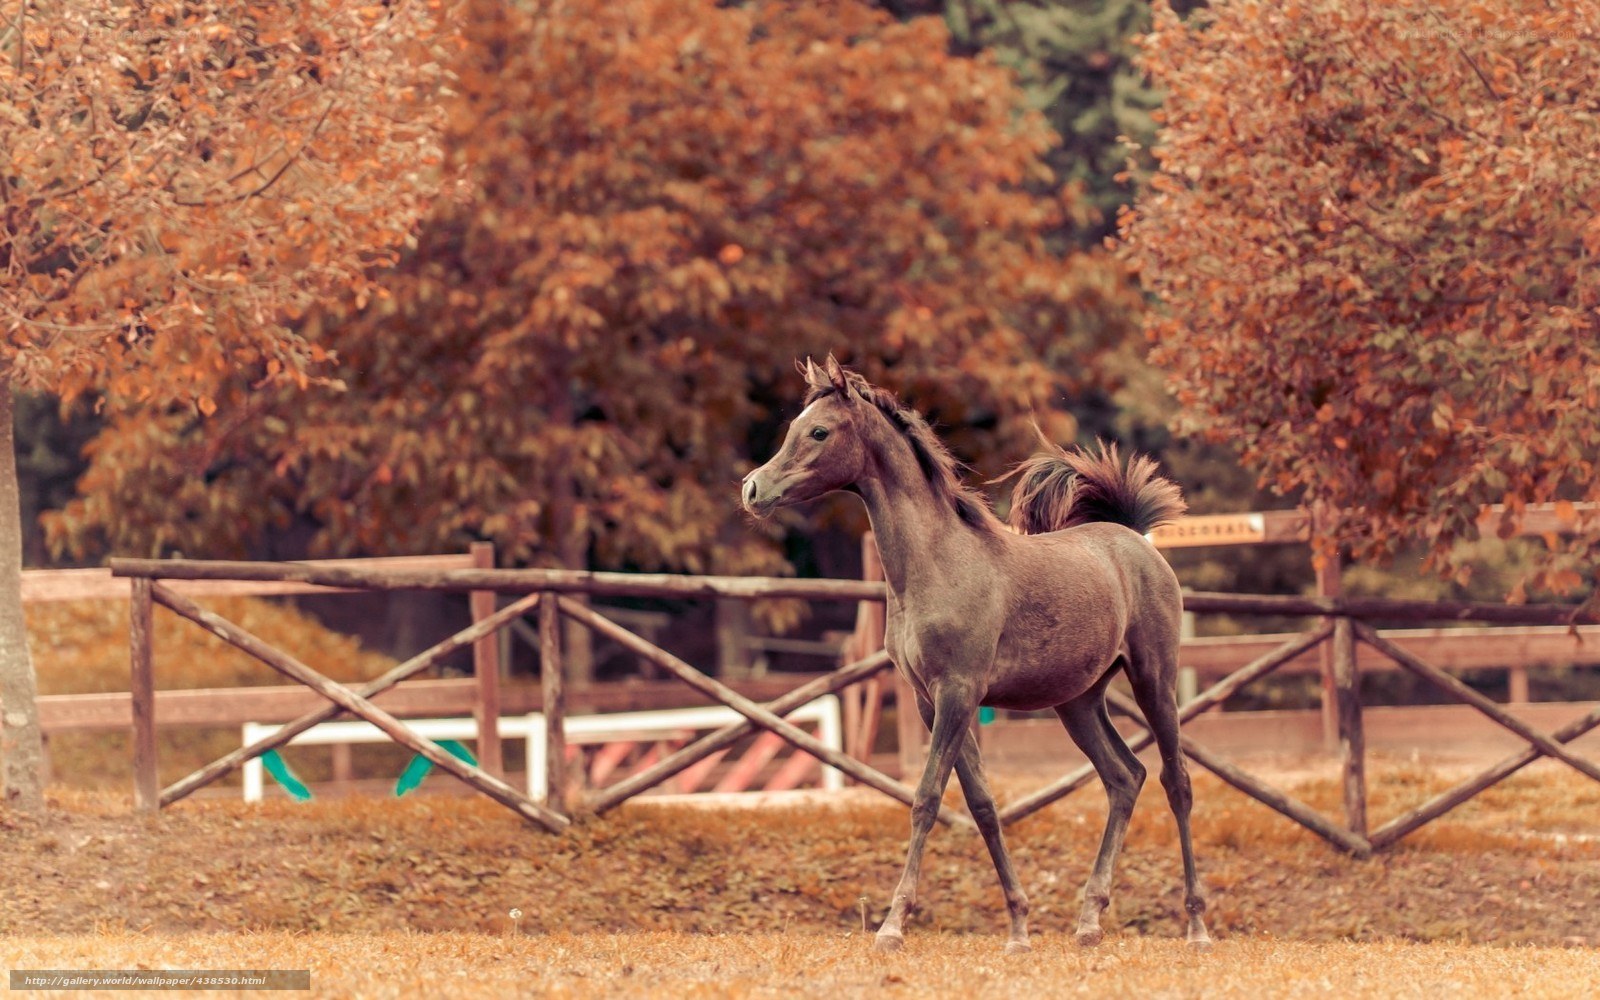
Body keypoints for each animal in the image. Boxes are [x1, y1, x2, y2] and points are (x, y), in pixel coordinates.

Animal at [740, 356, 1210, 954]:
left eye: (819, 431)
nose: (753, 489)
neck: (937, 565)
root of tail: (1135, 539)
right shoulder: (931, 700)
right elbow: (982, 804)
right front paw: (1018, 930)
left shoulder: (958, 692)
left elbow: (926, 798)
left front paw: (893, 927)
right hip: (1078, 702)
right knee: (1125, 777)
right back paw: (1089, 921)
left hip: (1155, 679)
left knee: (1177, 782)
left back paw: (1196, 927)